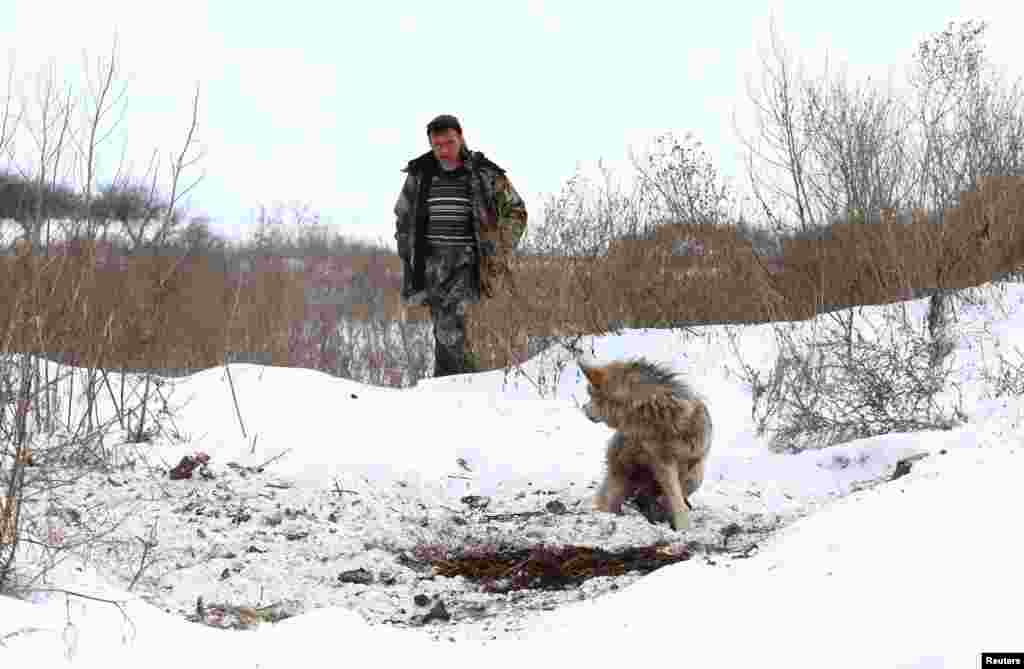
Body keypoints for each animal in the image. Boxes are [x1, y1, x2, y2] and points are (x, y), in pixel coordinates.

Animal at [581, 356, 716, 528]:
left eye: (591, 395)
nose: (583, 408)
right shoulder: (652, 464)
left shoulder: (685, 464)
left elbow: (677, 494)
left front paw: (678, 522)